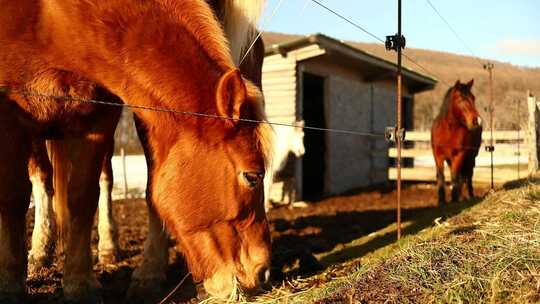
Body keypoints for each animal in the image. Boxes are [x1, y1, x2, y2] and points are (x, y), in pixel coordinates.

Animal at [0, 0, 270, 302]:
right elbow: (13, 198)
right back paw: (40, 251)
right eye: (252, 176)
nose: (262, 271)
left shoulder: (98, 116)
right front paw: (10, 286)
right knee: (41, 177)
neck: (53, 19)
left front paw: (80, 284)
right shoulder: (9, 116)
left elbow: (83, 197)